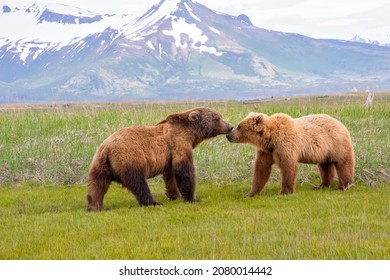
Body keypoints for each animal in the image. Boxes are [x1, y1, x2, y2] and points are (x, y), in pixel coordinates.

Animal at [87, 106, 233, 210]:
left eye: (220, 116)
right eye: (217, 118)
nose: (230, 126)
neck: (191, 134)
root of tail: (106, 148)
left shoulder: (169, 156)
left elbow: (170, 175)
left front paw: (175, 195)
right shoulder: (179, 143)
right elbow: (184, 171)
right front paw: (192, 198)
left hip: (99, 164)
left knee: (97, 184)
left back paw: (95, 206)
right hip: (130, 157)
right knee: (138, 182)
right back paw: (152, 202)